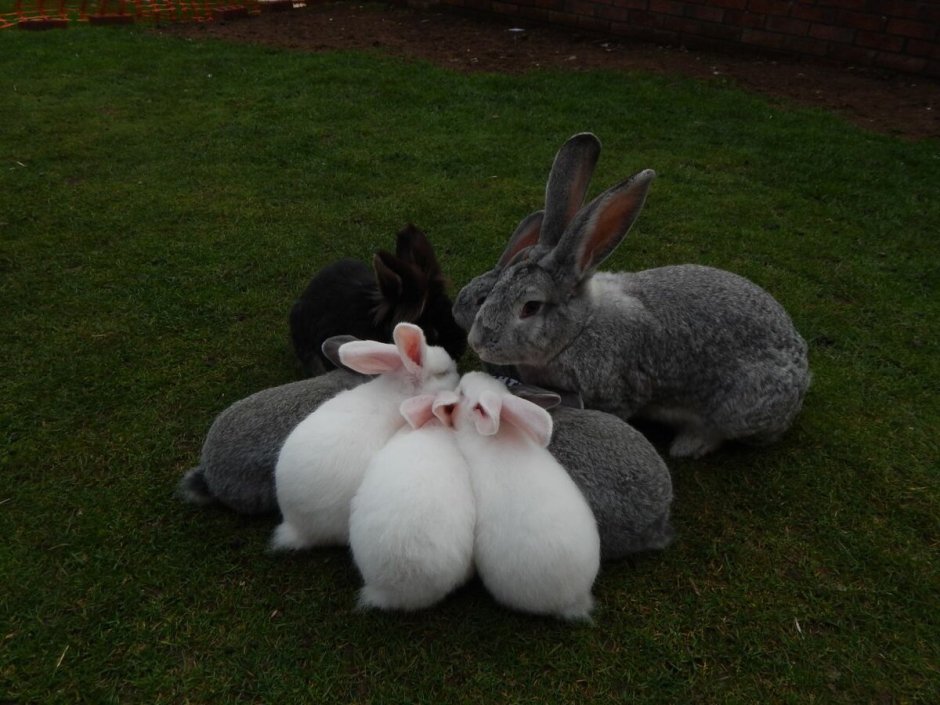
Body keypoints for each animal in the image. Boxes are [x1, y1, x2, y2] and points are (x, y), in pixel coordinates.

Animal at [468, 132, 811, 459]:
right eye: (494, 289)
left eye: (531, 307)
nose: (477, 341)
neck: (579, 328)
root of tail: (802, 376)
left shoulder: (619, 392)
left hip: (735, 409)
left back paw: (688, 445)